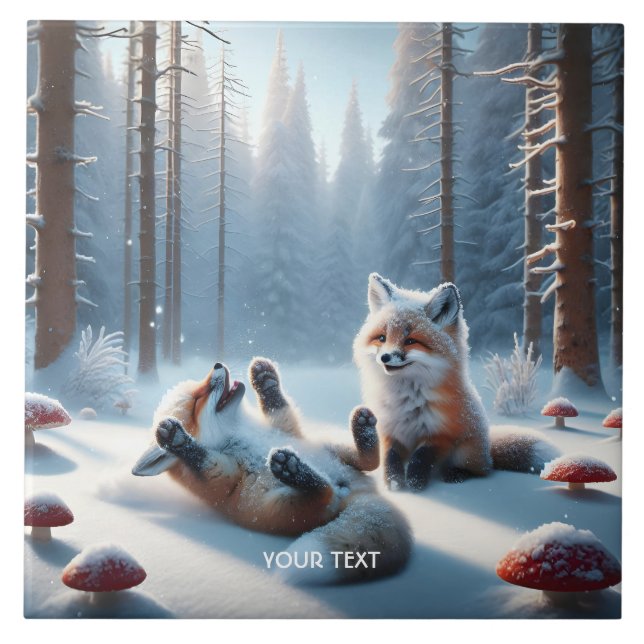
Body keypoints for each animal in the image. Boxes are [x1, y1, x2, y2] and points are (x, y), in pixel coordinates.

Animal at [132, 357, 412, 584]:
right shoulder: (221, 478)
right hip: (287, 508)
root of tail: (355, 494)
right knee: (324, 492)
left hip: (326, 447)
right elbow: (202, 461)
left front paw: (265, 379)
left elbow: (279, 407)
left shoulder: (282, 429)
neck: (239, 433)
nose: (217, 365)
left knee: (368, 462)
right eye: (196, 401)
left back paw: (362, 431)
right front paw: (177, 440)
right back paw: (292, 470)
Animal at [353, 273, 560, 490]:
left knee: (482, 471)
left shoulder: (441, 433)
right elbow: (390, 459)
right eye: (382, 338)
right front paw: (394, 483)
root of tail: (487, 448)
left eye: (410, 341)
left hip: (465, 452)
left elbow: (421, 458)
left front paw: (415, 483)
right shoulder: (388, 429)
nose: (385, 357)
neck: (404, 398)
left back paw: (456, 473)